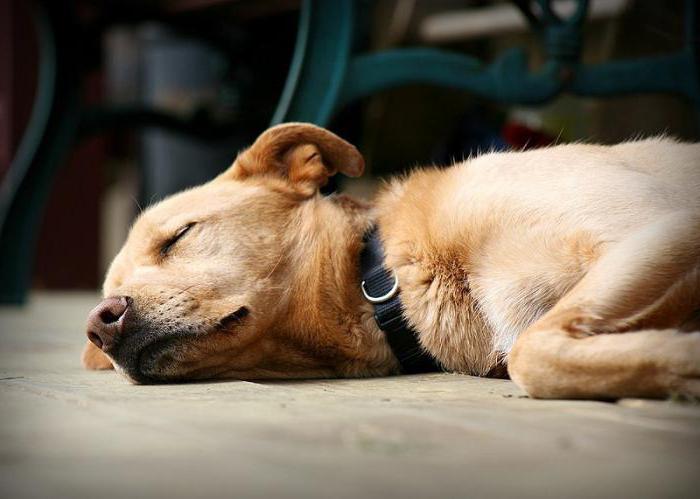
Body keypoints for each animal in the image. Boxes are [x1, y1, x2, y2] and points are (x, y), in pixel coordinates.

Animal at [85, 124, 700, 402]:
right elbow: (535, 353)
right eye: (110, 288)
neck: (390, 281)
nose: (100, 322)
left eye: (179, 236)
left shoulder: (659, 224)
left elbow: (533, 350)